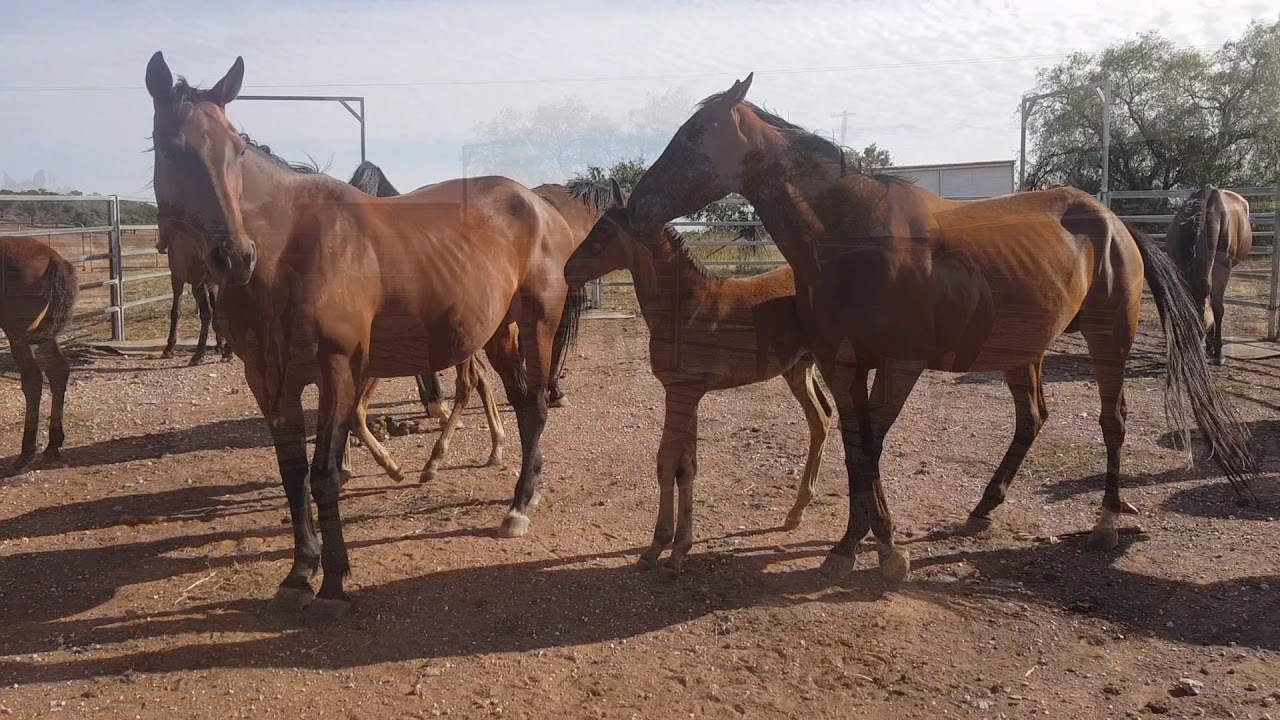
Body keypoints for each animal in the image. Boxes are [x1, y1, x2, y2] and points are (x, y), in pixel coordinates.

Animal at [1, 237, 77, 475]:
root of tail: (55, 258)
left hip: (18, 330)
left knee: (33, 378)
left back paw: (26, 454)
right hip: (43, 332)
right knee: (57, 370)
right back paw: (53, 445)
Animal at [146, 52, 585, 615]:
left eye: (237, 149)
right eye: (169, 149)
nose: (235, 257)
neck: (289, 253)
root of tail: (541, 204)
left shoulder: (339, 370)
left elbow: (324, 474)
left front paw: (334, 578)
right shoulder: (269, 381)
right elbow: (293, 473)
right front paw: (300, 571)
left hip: (538, 324)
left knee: (536, 405)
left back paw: (518, 506)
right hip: (496, 334)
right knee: (525, 406)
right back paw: (517, 494)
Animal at [565, 180, 833, 572]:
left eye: (602, 230)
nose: (566, 270)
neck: (684, 305)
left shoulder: (682, 392)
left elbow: (669, 464)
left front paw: (664, 547)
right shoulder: (686, 393)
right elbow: (683, 466)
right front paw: (677, 545)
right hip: (799, 369)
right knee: (821, 420)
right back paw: (795, 512)